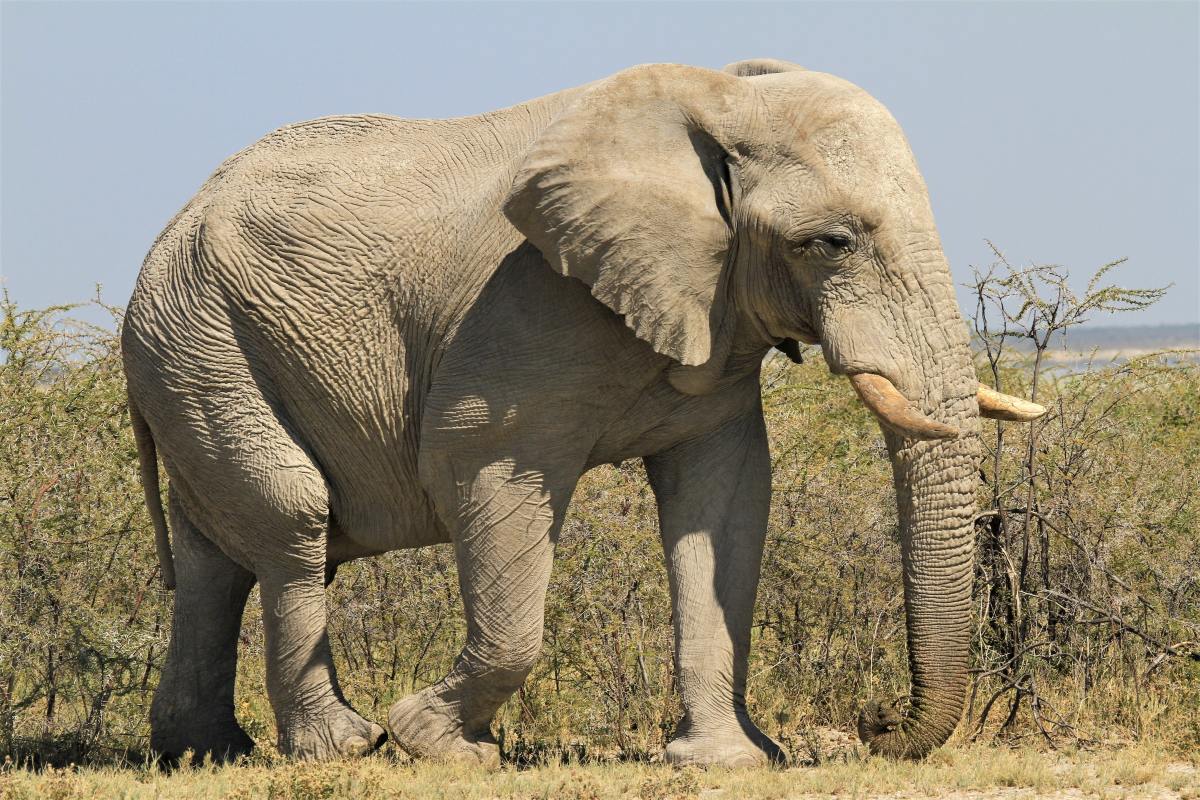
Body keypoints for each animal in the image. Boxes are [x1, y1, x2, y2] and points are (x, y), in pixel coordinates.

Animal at [117, 57, 1046, 767]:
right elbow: (478, 468)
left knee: (215, 560)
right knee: (292, 518)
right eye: (830, 243)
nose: (875, 723)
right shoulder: (522, 309)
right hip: (201, 345)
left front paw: (728, 762)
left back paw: (202, 752)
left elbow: (726, 497)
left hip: (193, 354)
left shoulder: (712, 318)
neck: (719, 98)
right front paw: (437, 745)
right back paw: (343, 747)